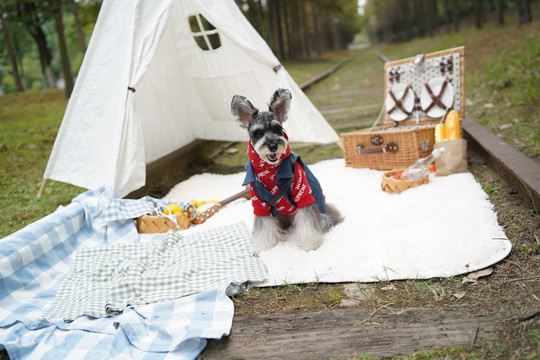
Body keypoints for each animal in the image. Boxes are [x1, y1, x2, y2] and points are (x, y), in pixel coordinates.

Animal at [231, 88, 342, 255]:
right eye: (257, 133)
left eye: (277, 129)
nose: (272, 145)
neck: (271, 169)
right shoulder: (259, 203)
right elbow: (263, 228)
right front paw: (263, 247)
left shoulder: (302, 195)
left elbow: (307, 223)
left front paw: (309, 245)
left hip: (321, 211)